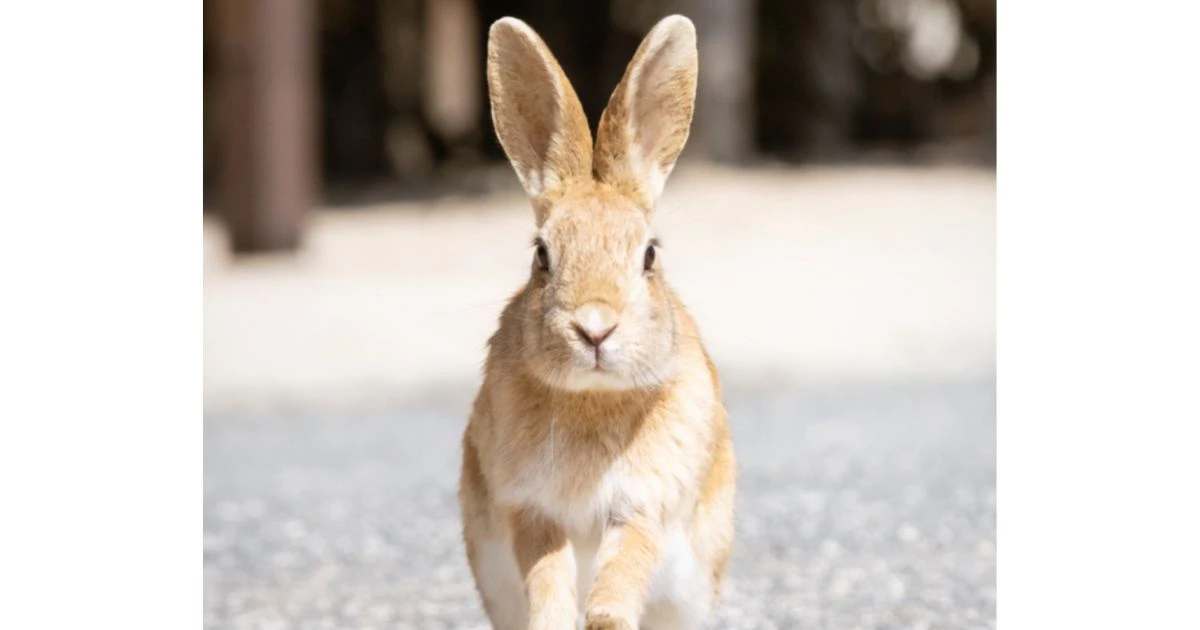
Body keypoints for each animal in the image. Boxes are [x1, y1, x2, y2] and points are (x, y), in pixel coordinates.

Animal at [459, 14, 736, 630]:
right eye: (542, 255)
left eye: (650, 255)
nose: (594, 328)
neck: (592, 396)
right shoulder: (531, 508)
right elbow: (546, 572)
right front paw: (555, 618)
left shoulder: (642, 505)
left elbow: (623, 571)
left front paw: (605, 616)